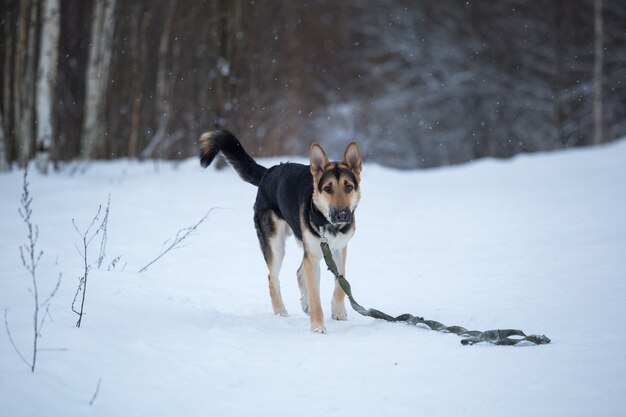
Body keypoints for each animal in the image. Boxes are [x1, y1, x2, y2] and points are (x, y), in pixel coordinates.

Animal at [200, 128, 360, 334]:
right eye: (328, 189)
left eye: (348, 187)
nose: (342, 215)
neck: (327, 223)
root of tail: (270, 171)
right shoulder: (314, 255)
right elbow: (316, 295)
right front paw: (317, 327)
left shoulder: (339, 250)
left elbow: (340, 283)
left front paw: (338, 313)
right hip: (275, 245)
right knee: (272, 277)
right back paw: (281, 312)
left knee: (299, 272)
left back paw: (305, 305)